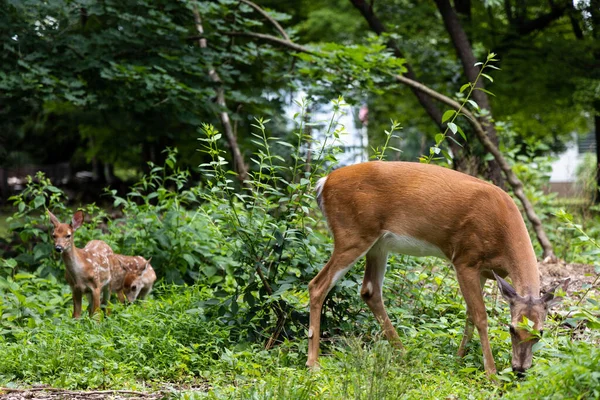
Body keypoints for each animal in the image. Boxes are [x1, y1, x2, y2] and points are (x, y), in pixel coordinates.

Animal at [308, 161, 568, 376]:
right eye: (511, 329)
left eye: (540, 333)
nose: (520, 370)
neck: (502, 232)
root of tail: (323, 183)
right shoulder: (464, 259)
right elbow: (480, 316)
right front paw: (491, 374)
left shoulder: (483, 270)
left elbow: (469, 314)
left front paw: (459, 359)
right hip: (352, 235)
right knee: (317, 285)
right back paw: (314, 364)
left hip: (378, 244)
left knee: (370, 291)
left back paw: (404, 353)